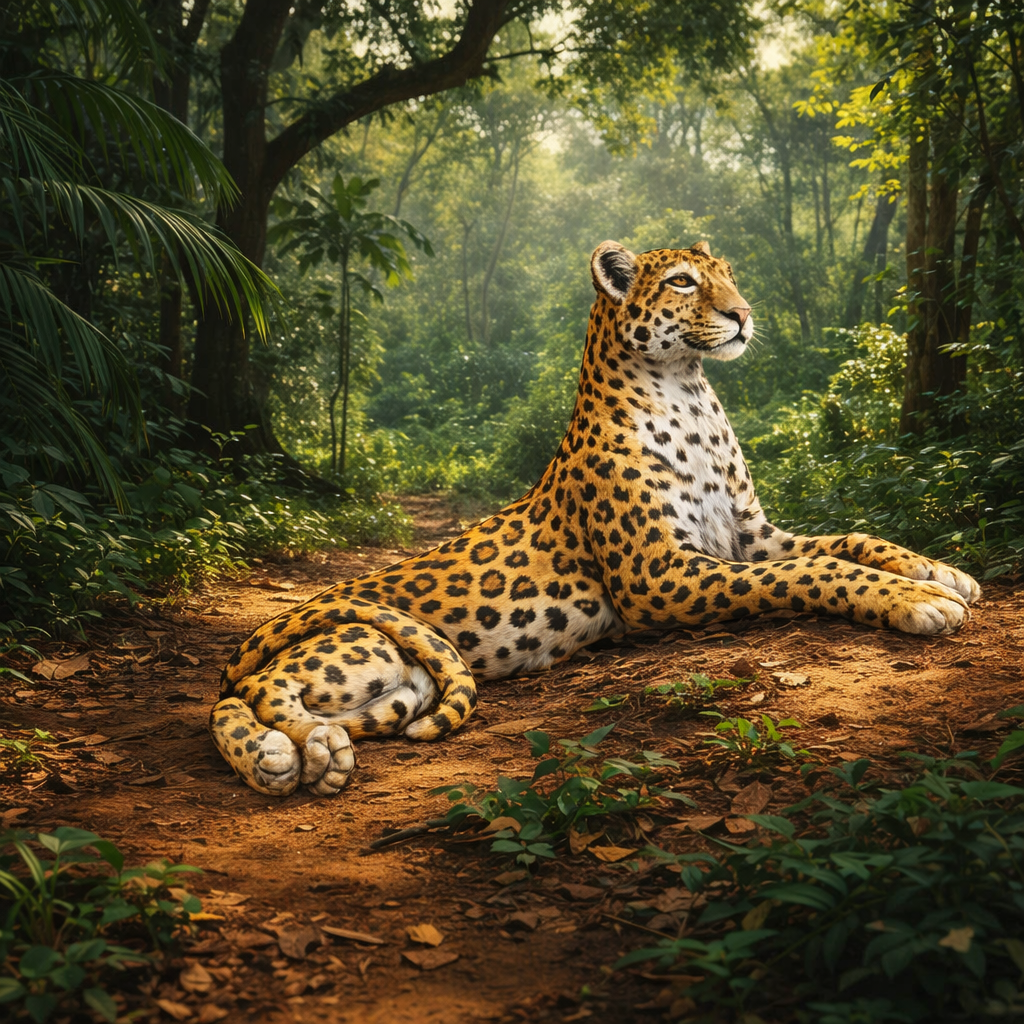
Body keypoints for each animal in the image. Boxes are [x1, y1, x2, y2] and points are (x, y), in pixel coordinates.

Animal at [210, 239, 980, 797]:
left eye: (728, 276)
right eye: (683, 282)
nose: (743, 314)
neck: (690, 392)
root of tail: (260, 633)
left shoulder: (752, 535)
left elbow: (846, 539)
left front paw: (938, 570)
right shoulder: (662, 575)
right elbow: (814, 570)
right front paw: (918, 600)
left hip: (409, 680)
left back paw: (304, 752)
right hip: (363, 642)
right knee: (253, 693)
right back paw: (303, 750)